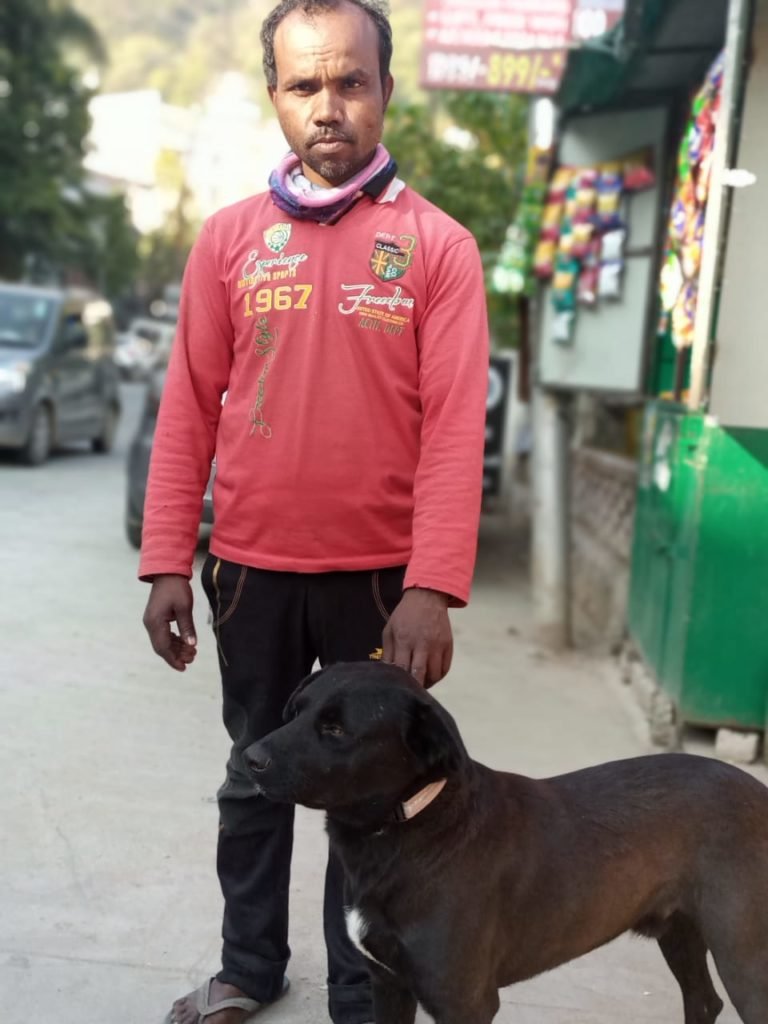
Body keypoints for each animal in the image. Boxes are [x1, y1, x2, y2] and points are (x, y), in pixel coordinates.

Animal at [244, 663, 768, 1024]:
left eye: (335, 729)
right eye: (295, 711)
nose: (249, 758)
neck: (409, 827)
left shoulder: (465, 1002)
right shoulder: (389, 983)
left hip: (743, 956)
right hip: (681, 930)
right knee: (704, 1002)